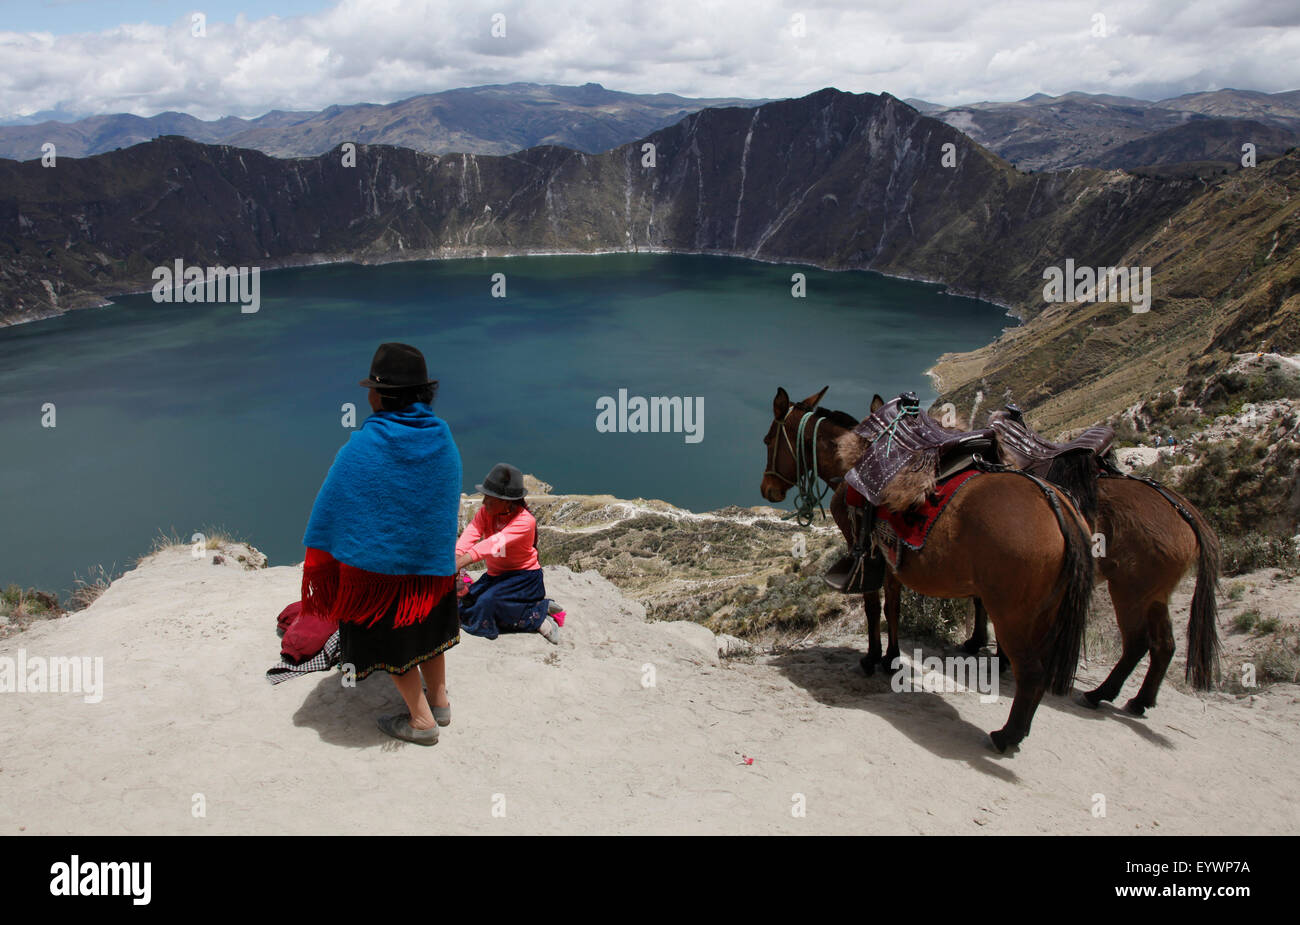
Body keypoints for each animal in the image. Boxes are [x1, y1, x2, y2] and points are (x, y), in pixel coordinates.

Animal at [759, 384, 1097, 753]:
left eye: (767, 440)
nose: (767, 489)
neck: (852, 462)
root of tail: (1058, 505)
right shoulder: (891, 558)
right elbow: (892, 607)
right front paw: (891, 658)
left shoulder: (865, 554)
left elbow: (872, 606)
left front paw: (871, 658)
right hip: (1044, 614)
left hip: (1013, 615)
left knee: (1032, 674)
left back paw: (1006, 736)